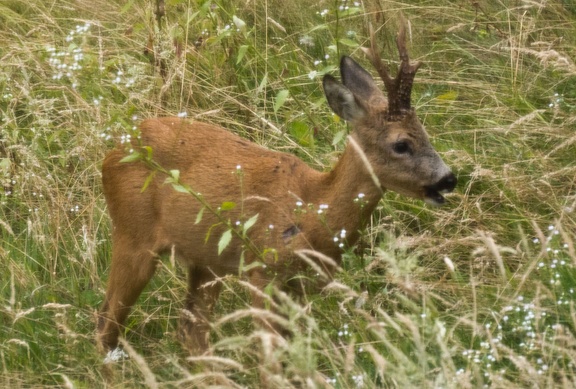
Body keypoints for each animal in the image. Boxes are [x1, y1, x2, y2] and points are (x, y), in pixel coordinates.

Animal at [99, 25, 460, 356]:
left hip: (205, 263)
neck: (313, 209)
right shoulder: (264, 269)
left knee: (190, 333)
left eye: (425, 133)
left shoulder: (297, 287)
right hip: (133, 233)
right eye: (401, 144)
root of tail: (112, 152)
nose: (448, 179)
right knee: (106, 322)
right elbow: (270, 355)